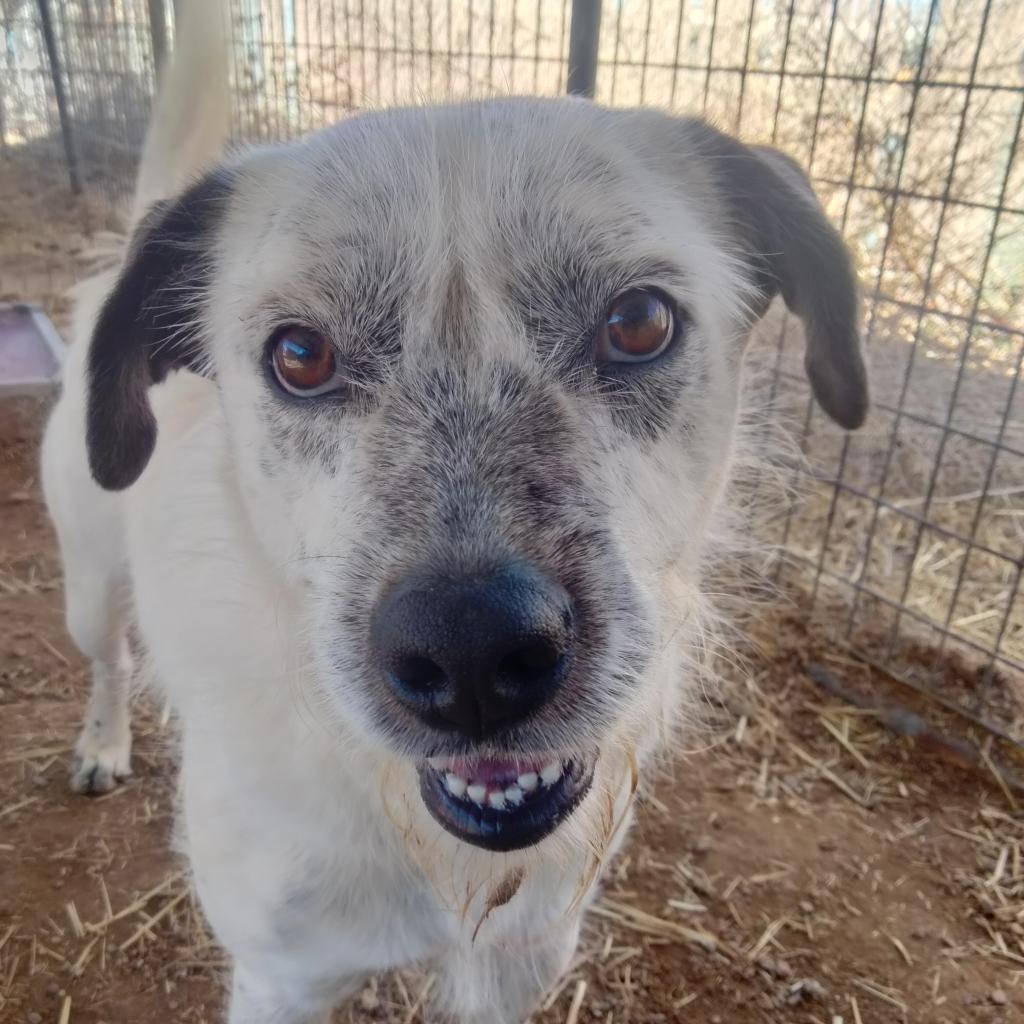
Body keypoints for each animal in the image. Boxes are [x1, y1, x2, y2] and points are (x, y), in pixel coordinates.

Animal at [44, 4, 868, 1019]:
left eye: (639, 321)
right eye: (300, 354)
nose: (471, 651)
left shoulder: (518, 967)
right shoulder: (282, 980)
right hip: (86, 587)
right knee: (109, 657)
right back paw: (102, 742)